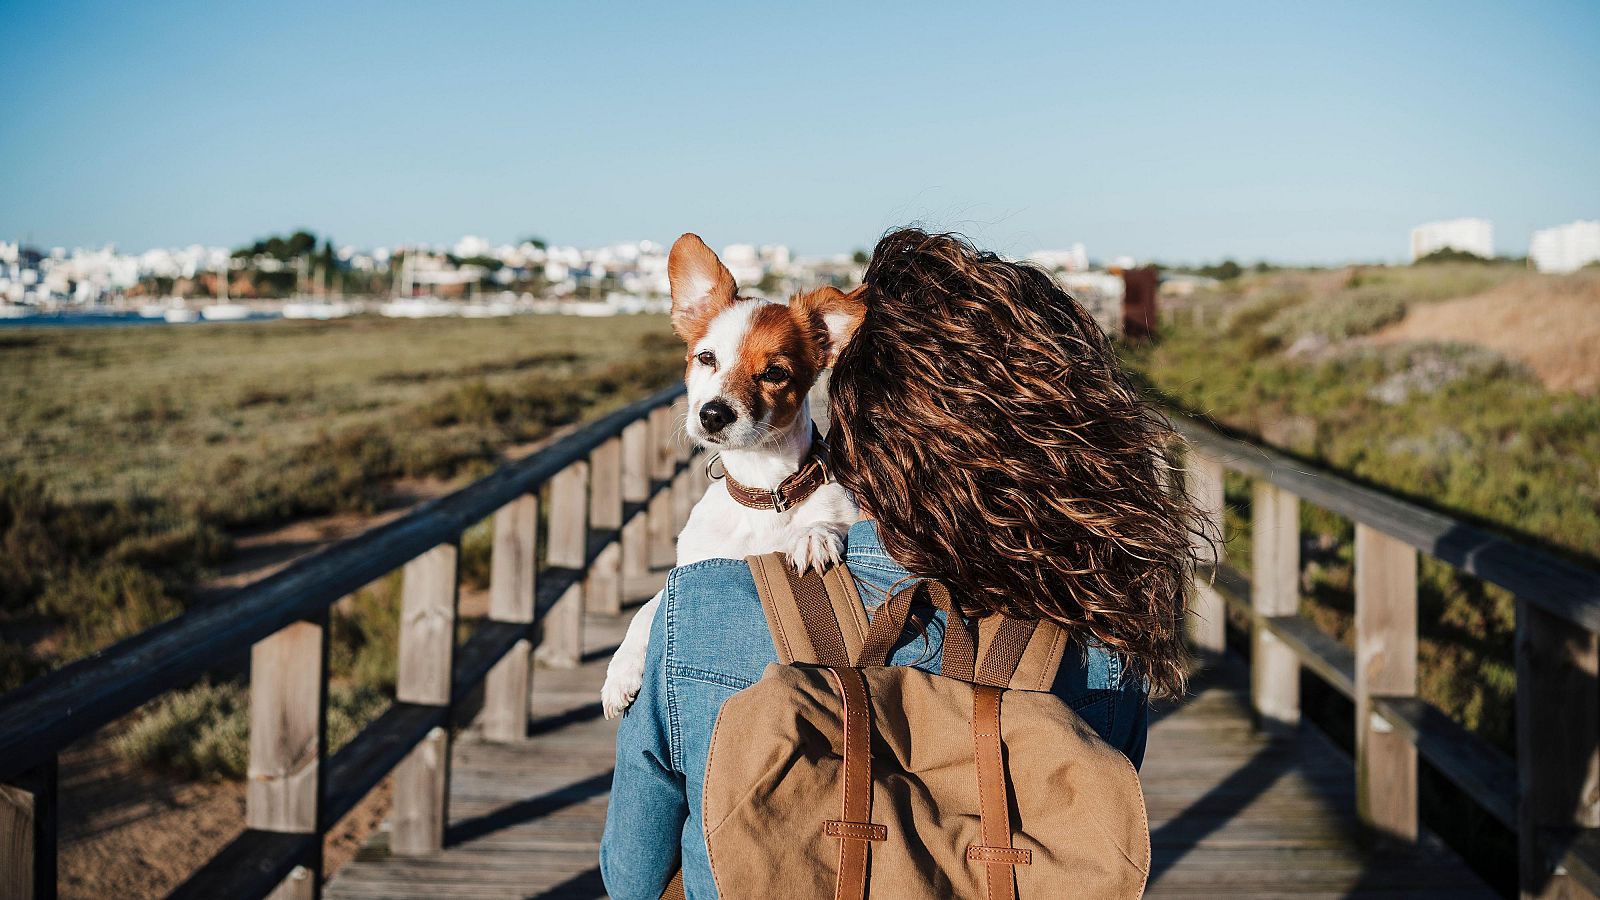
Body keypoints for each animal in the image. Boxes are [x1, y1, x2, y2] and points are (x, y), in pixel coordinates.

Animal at [601, 232, 870, 714]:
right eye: (706, 358)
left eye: (775, 372)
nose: (712, 414)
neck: (763, 492)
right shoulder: (690, 568)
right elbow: (648, 607)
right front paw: (620, 672)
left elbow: (827, 521)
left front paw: (813, 534)